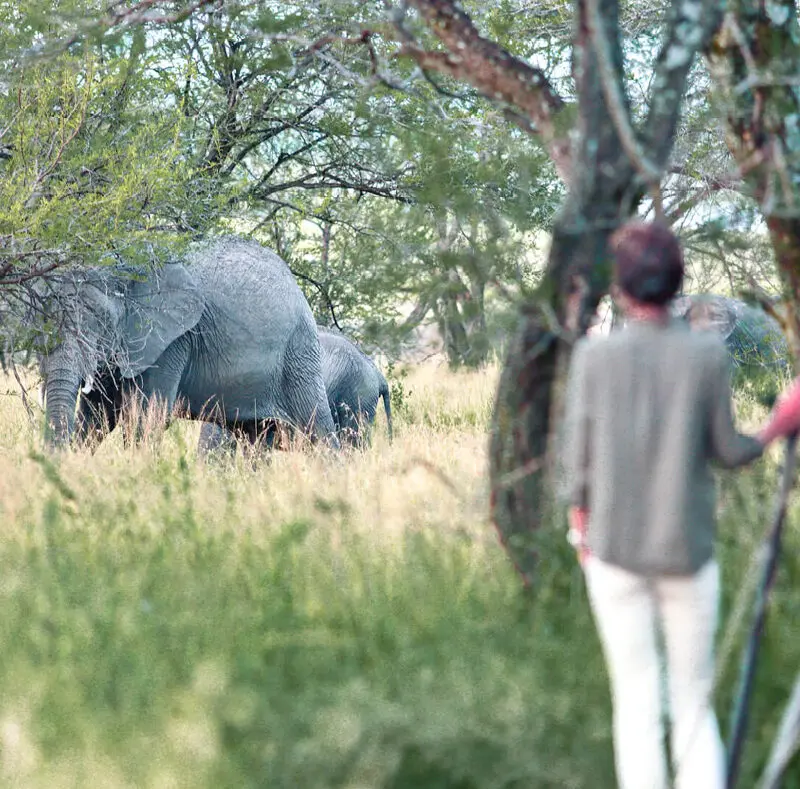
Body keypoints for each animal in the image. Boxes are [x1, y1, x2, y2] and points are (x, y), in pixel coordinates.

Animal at [37, 236, 339, 449]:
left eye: (100, 320)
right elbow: (97, 416)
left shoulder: (172, 340)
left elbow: (146, 419)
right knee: (253, 436)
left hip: (298, 353)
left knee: (318, 431)